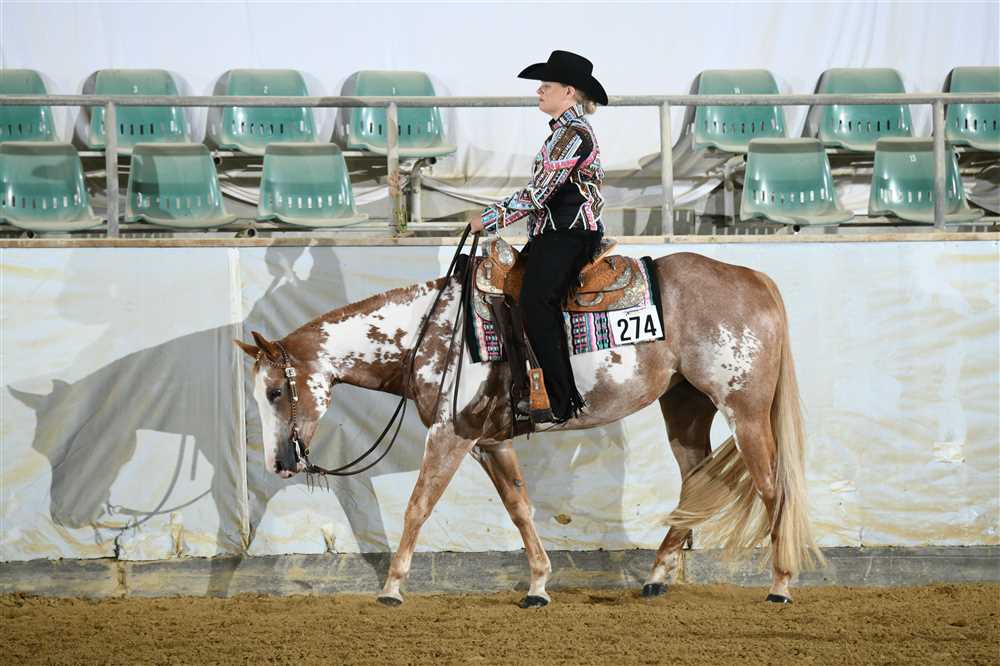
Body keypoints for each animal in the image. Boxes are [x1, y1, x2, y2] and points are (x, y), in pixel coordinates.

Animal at [235, 249, 825, 607]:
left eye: (274, 392)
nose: (279, 463)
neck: (435, 329)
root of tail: (754, 279)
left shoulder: (451, 435)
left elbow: (418, 505)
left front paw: (391, 587)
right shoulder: (489, 442)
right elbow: (519, 507)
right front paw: (539, 585)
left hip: (745, 411)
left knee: (773, 488)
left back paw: (780, 585)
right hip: (684, 406)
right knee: (695, 482)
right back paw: (657, 577)